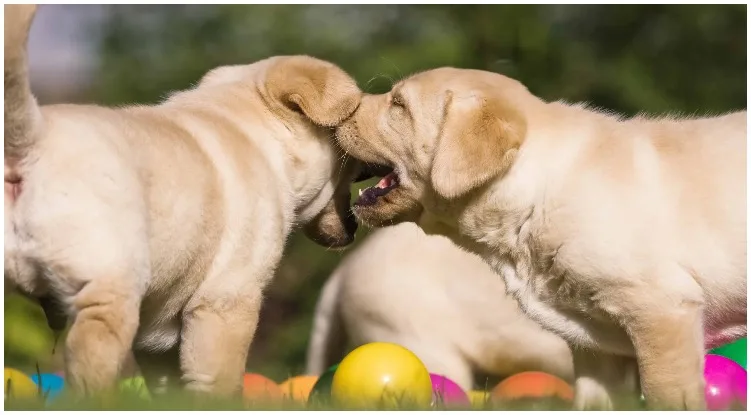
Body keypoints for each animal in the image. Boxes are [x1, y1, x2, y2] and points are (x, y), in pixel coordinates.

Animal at [334, 67, 748, 410]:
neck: (539, 186)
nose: (338, 110)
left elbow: (669, 396)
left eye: (399, 105)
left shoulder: (663, 312)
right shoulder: (599, 348)